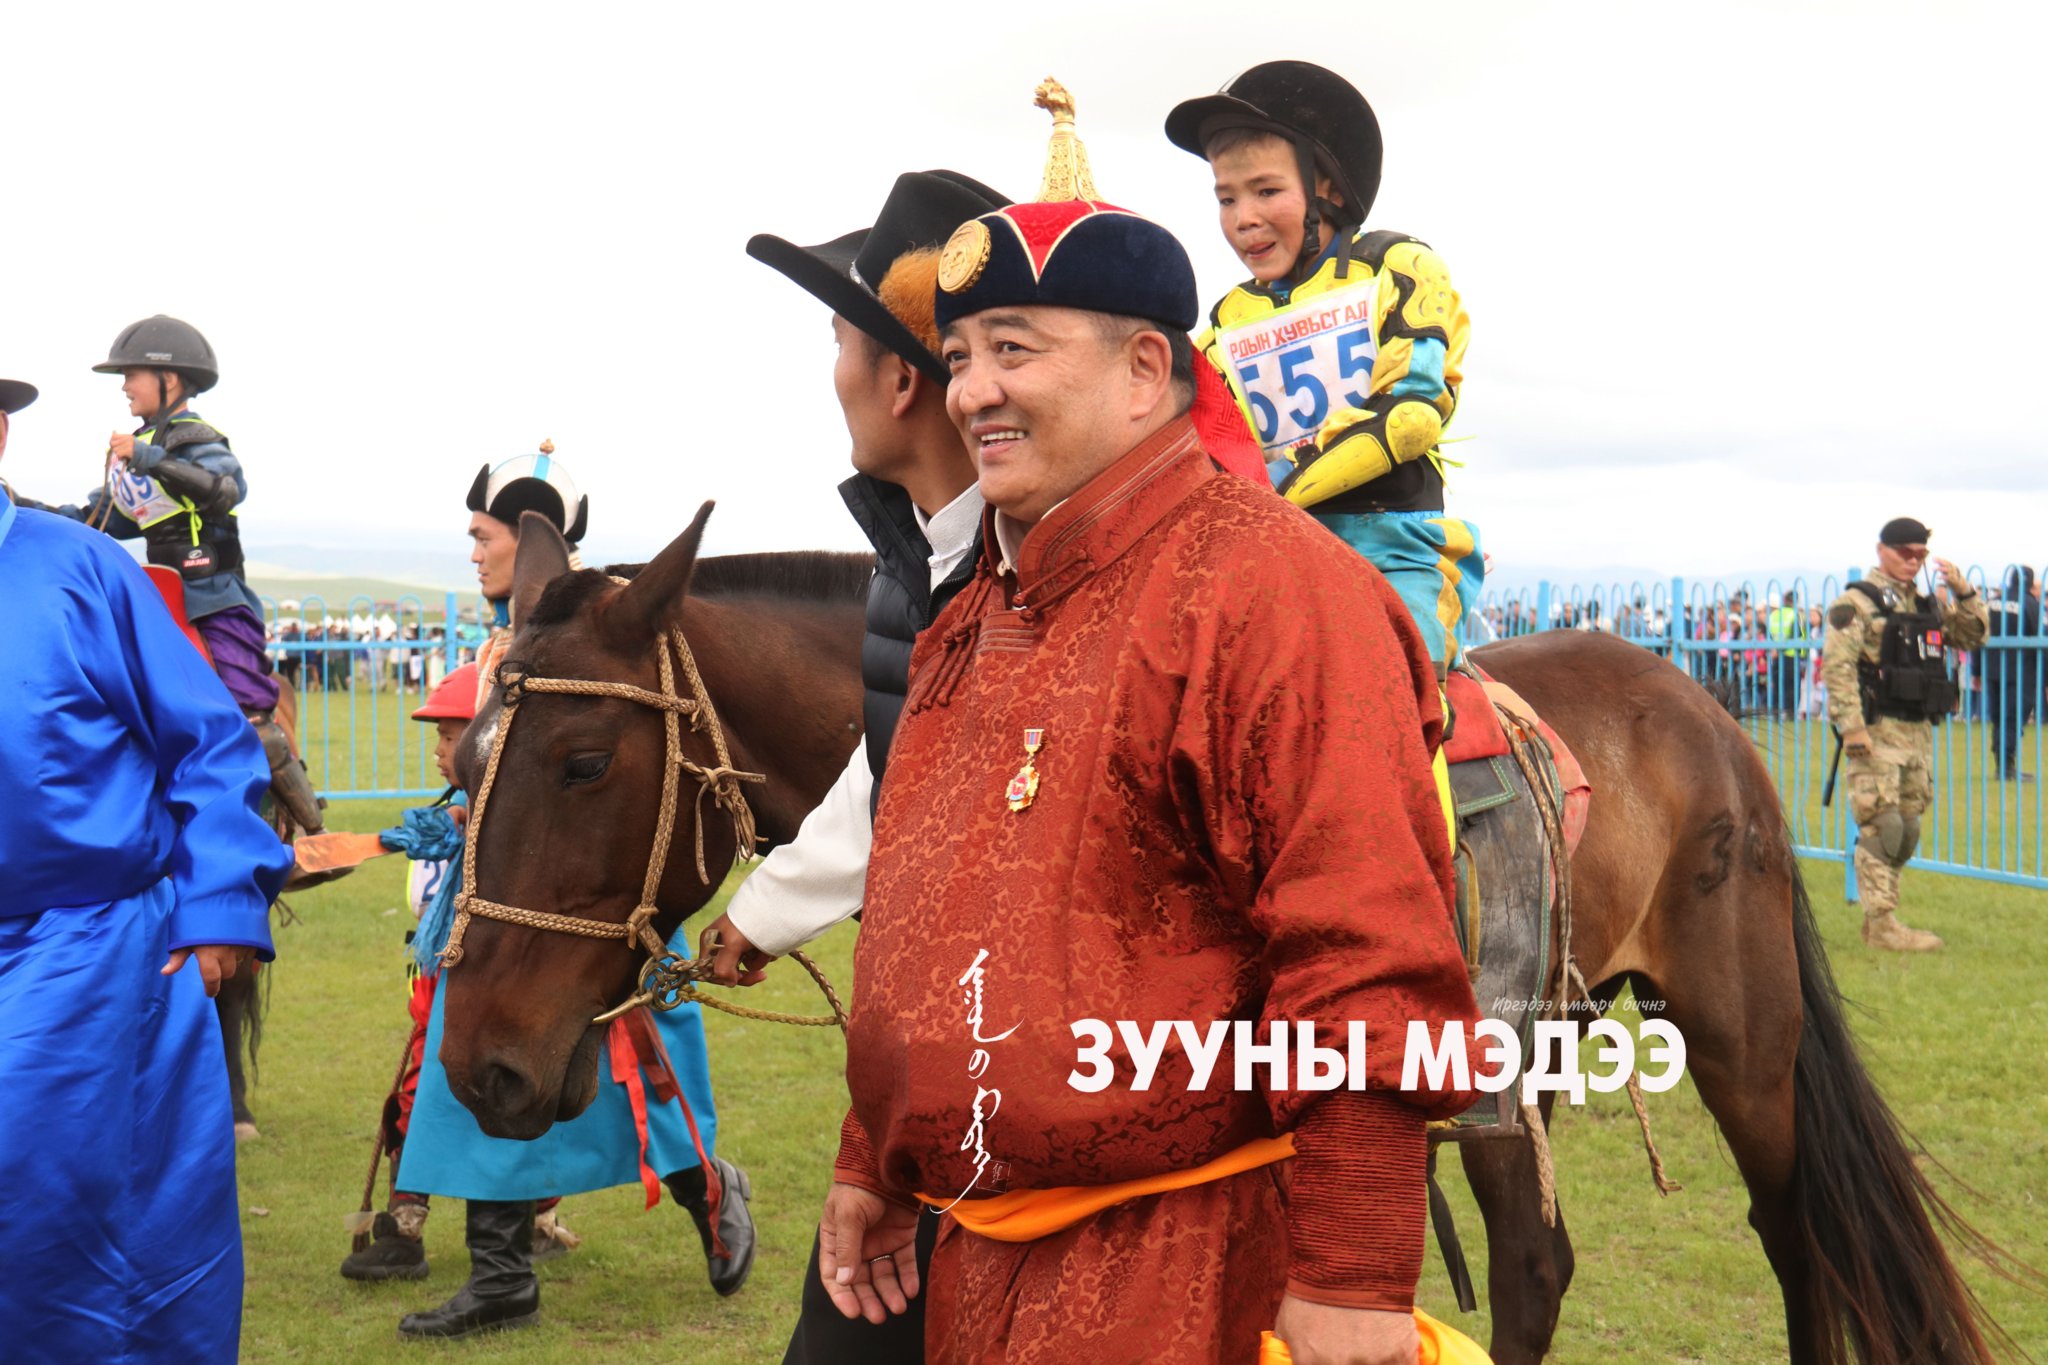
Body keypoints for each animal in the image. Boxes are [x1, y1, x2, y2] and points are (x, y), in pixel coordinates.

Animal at [444, 509, 1998, 1365]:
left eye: (583, 761)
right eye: (463, 765)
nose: (483, 1068)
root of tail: (1701, 710)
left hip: (1739, 1038)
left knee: (1795, 1239)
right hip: (1522, 1060)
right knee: (1538, 1268)